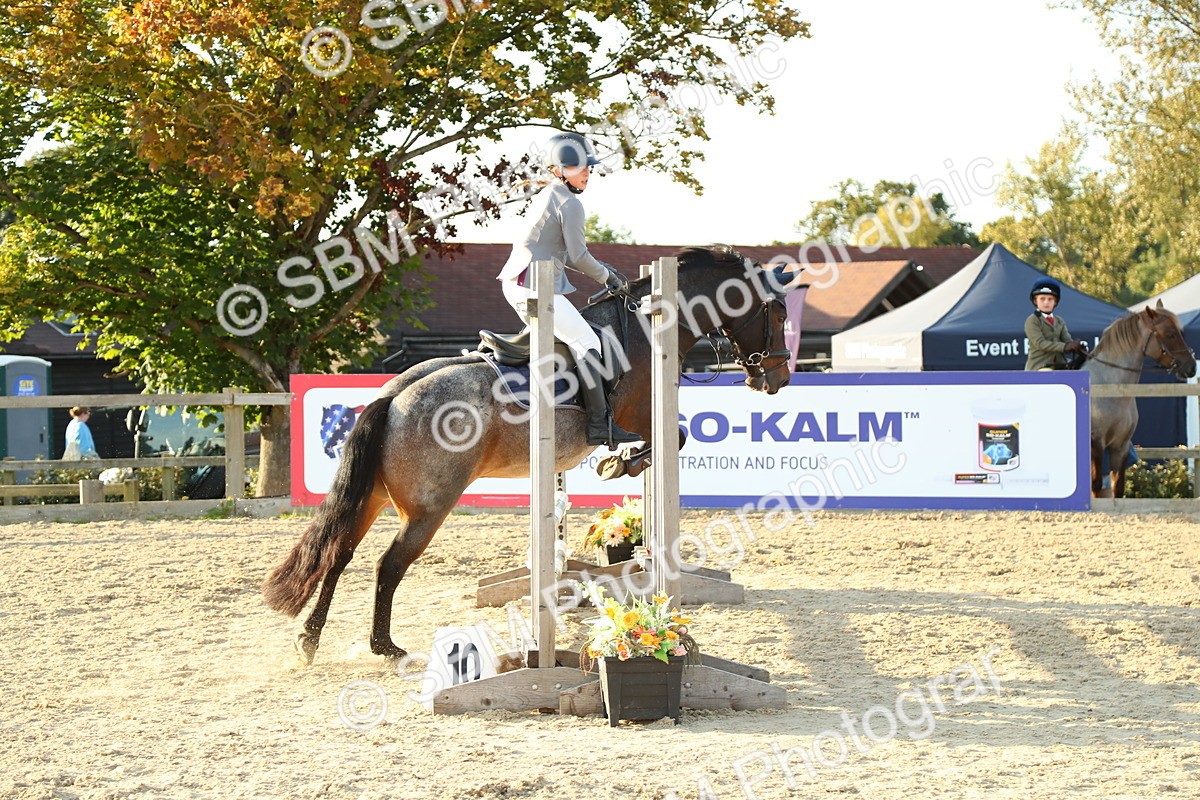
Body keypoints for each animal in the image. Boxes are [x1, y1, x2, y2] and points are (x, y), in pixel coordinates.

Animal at [263, 246, 794, 663]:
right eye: (780, 315)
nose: (778, 379)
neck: (651, 328)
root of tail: (393, 396)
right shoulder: (644, 416)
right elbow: (676, 436)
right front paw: (618, 463)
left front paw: (618, 463)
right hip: (430, 505)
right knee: (388, 565)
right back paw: (384, 646)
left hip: (373, 495)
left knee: (339, 554)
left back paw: (309, 640)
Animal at [1085, 299, 1196, 498]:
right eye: (1170, 334)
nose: (1191, 367)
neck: (1111, 389)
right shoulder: (1096, 443)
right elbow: (1095, 487)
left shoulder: (1120, 446)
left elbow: (1117, 488)